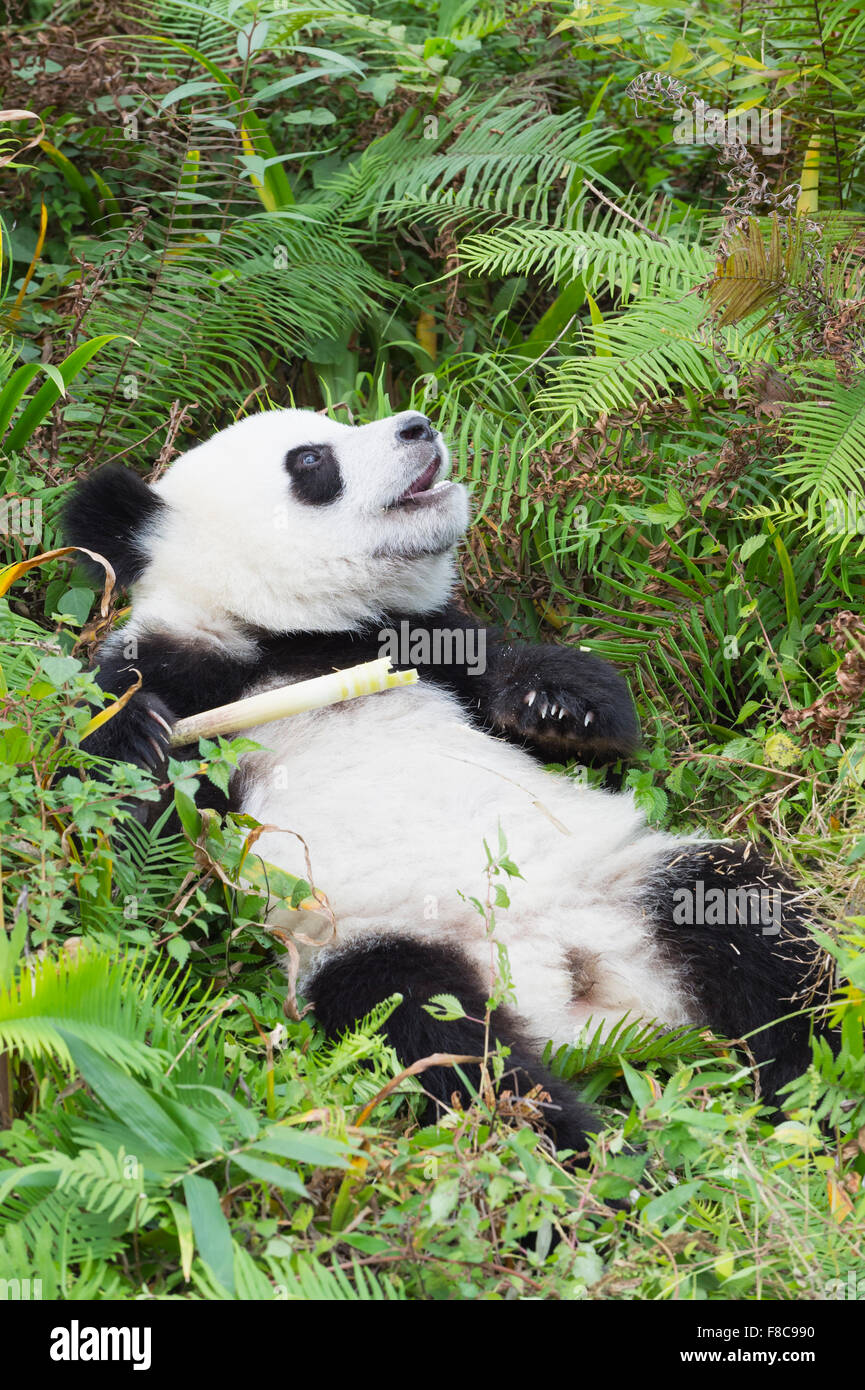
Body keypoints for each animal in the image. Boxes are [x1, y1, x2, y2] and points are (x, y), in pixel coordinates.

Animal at [64, 405, 828, 1156]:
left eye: (341, 420)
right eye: (311, 460)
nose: (416, 426)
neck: (291, 641)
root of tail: (577, 998)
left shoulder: (422, 639)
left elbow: (576, 712)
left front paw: (559, 705)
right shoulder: (185, 669)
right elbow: (123, 854)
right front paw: (136, 739)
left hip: (624, 882)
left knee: (748, 922)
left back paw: (803, 1094)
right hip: (369, 943)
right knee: (437, 1036)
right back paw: (576, 1150)